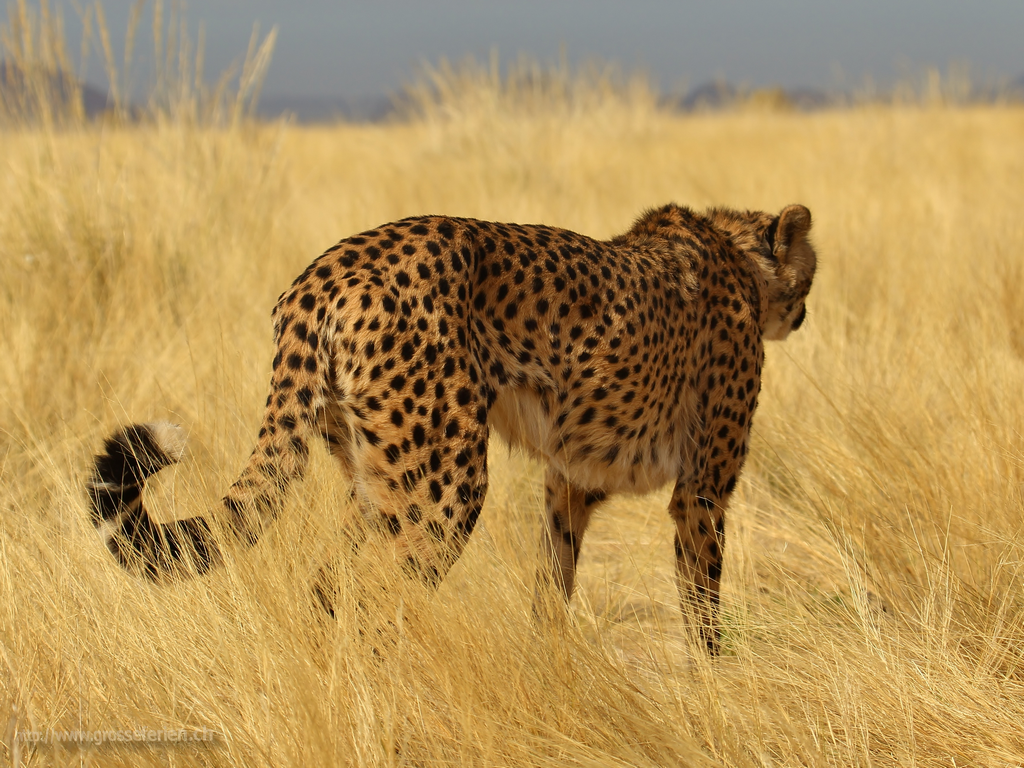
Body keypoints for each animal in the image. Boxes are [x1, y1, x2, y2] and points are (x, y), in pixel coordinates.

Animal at [87, 202, 816, 653]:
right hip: (444, 486)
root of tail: (321, 273)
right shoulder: (701, 491)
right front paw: (713, 696)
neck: (735, 254)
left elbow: (553, 586)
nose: (805, 313)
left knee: (328, 588)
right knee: (375, 601)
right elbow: (703, 607)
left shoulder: (569, 483)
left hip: (378, 483)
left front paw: (547, 673)